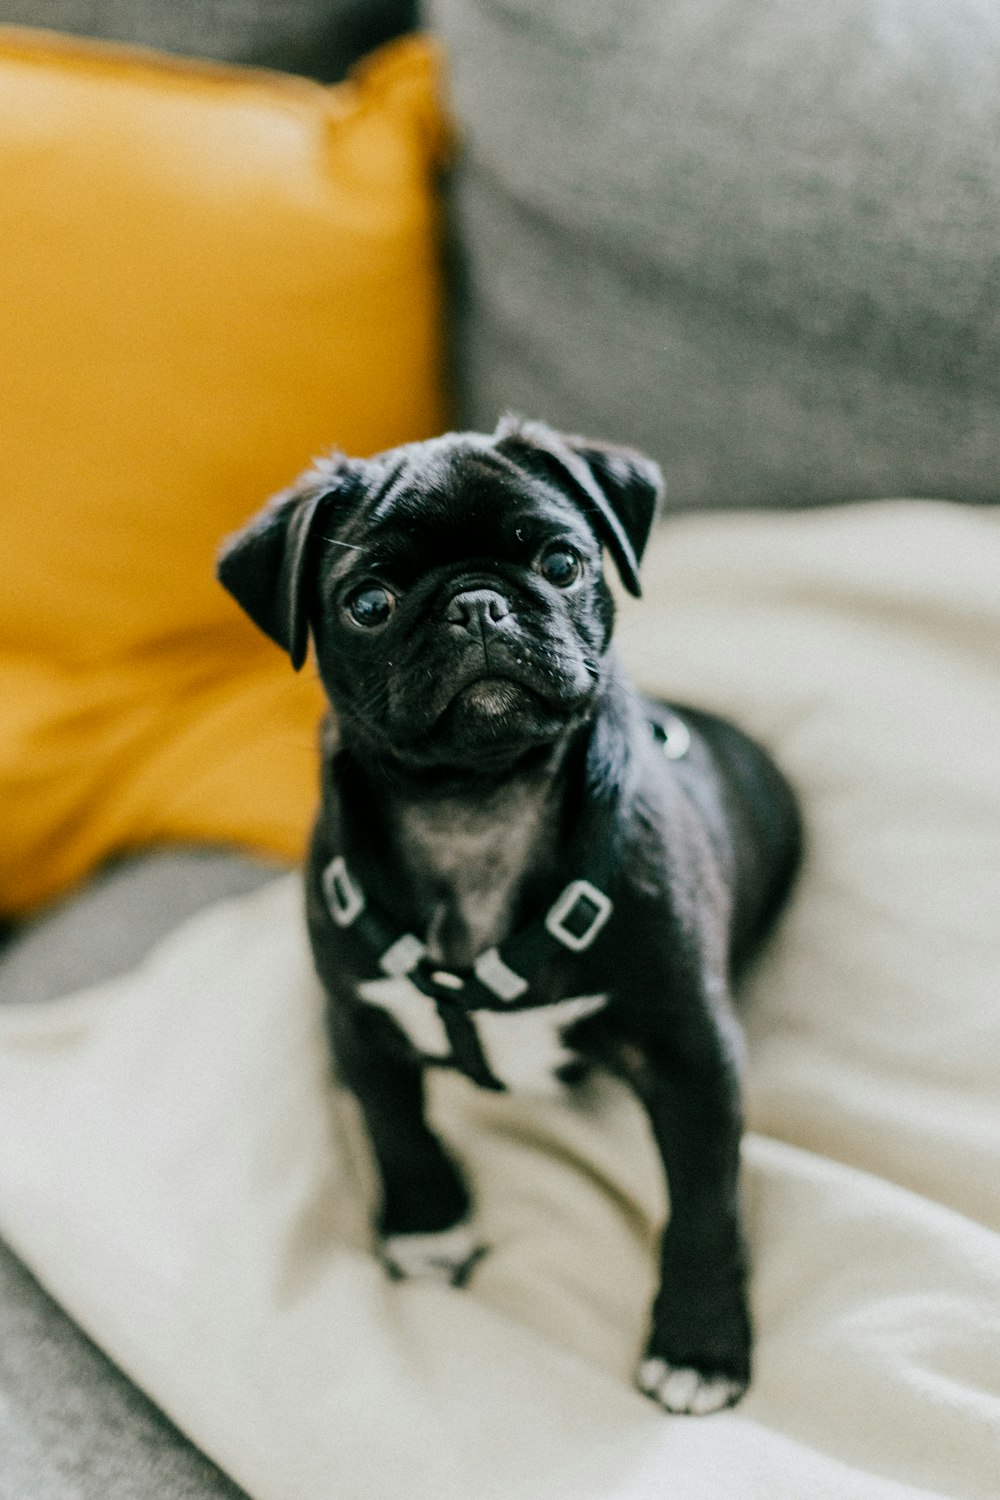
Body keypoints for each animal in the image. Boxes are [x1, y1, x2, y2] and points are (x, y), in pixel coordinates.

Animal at [217, 414, 797, 1416]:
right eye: (369, 604)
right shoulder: (361, 1021)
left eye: (562, 562)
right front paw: (428, 1226)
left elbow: (702, 1204)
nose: (477, 605)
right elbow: (396, 1127)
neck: (476, 808)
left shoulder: (692, 1057)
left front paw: (699, 1340)